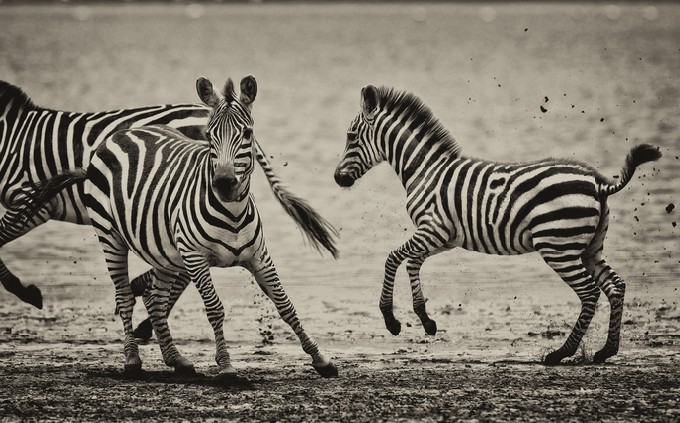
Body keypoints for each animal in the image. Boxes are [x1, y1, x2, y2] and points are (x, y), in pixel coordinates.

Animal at [16, 75, 339, 378]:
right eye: (209, 135)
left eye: (247, 133)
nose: (223, 183)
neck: (232, 213)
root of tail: (122, 132)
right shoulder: (195, 257)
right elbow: (215, 308)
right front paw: (226, 366)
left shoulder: (260, 256)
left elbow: (285, 304)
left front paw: (321, 359)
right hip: (110, 236)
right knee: (124, 297)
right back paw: (132, 361)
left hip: (165, 251)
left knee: (156, 300)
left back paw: (177, 360)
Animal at [333, 85, 661, 365]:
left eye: (351, 137)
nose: (337, 179)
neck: (425, 170)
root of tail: (597, 183)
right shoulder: (444, 237)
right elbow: (413, 263)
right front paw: (425, 319)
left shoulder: (433, 229)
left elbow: (393, 258)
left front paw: (391, 319)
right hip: (590, 247)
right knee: (615, 286)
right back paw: (607, 350)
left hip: (559, 247)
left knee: (591, 293)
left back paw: (560, 354)